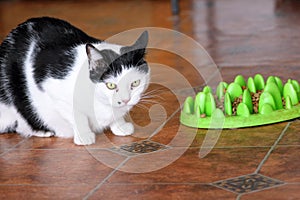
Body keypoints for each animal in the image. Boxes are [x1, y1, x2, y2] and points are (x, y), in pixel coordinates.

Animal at [0, 16, 150, 145]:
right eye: (111, 85)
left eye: (135, 83)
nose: (126, 100)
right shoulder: (54, 90)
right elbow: (78, 115)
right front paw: (84, 136)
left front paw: (120, 126)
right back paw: (43, 131)